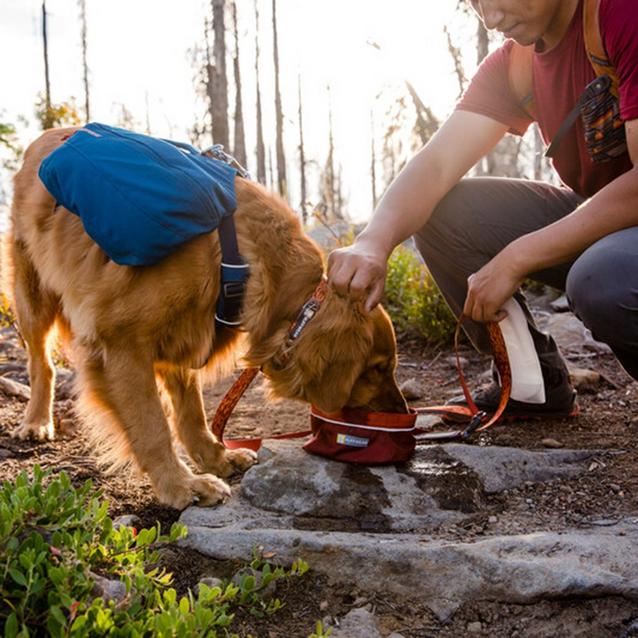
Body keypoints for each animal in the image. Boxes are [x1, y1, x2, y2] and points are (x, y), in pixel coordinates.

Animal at [5, 129, 408, 510]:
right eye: (375, 369)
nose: (403, 413)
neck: (240, 261)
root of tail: (44, 139)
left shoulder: (185, 333)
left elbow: (192, 414)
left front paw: (216, 458)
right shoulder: (119, 342)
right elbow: (153, 426)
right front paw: (182, 485)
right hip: (32, 295)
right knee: (42, 364)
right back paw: (37, 421)